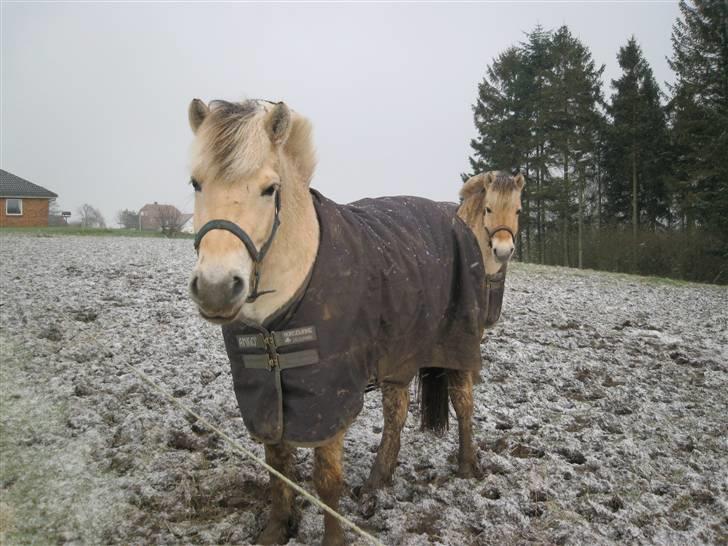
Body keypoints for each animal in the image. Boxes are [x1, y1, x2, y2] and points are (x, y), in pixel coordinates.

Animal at [185, 99, 520, 544]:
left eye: (269, 189)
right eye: (196, 183)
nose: (217, 288)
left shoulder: (331, 399)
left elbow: (328, 481)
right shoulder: (265, 398)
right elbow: (278, 467)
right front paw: (276, 528)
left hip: (458, 344)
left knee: (463, 402)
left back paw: (467, 466)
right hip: (399, 355)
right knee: (395, 414)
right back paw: (379, 479)